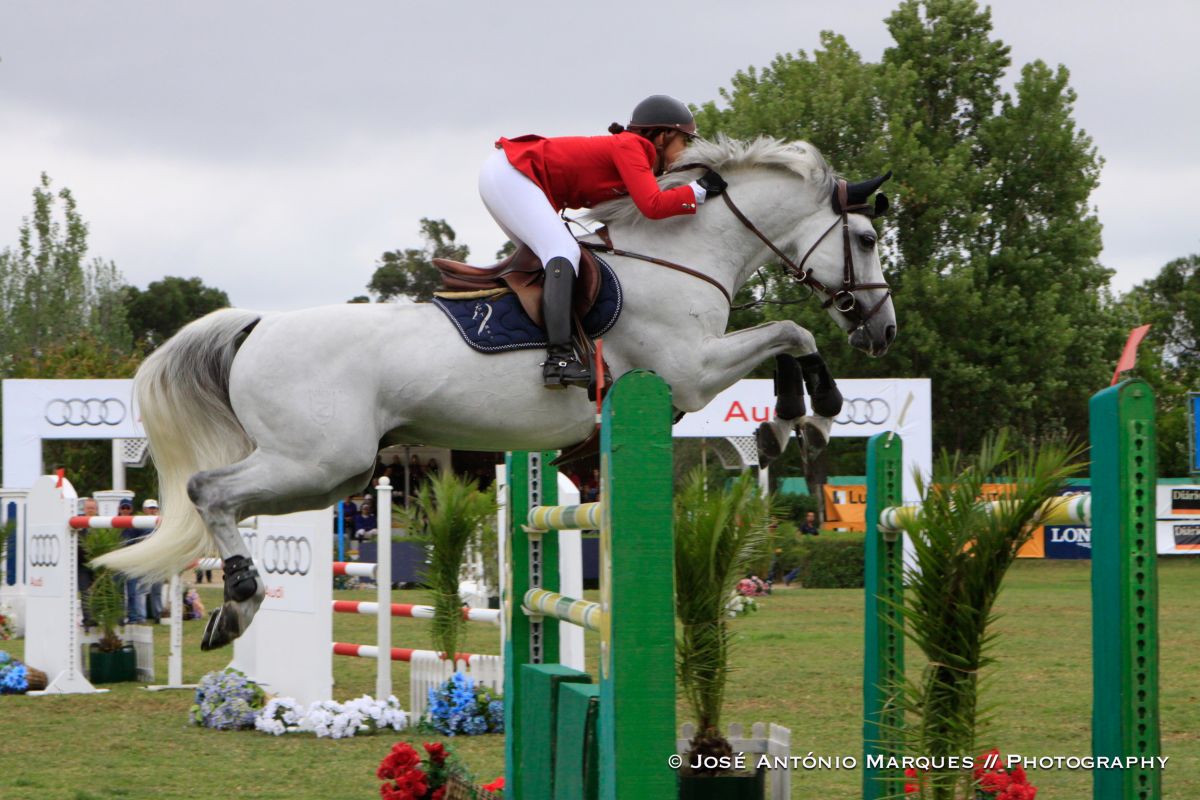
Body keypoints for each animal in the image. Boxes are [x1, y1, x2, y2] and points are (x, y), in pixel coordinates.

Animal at [98, 136, 897, 652]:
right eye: (863, 238)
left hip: (332, 475)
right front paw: (808, 417)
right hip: (318, 460)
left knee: (223, 497)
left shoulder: (694, 373)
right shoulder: (690, 370)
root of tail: (257, 324)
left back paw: (233, 610)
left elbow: (789, 337)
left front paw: (789, 425)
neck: (683, 257)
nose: (882, 330)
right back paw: (237, 602)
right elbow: (794, 329)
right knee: (208, 490)